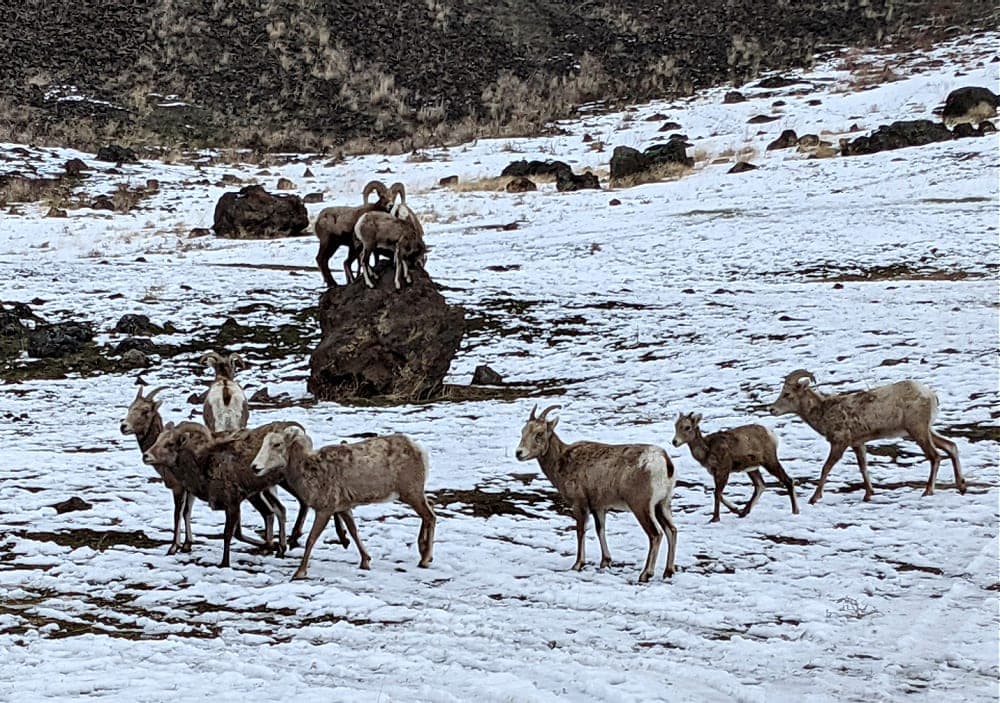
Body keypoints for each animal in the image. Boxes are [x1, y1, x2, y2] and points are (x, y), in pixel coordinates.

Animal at [250, 426, 434, 580]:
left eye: (277, 444)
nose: (255, 467)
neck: (310, 473)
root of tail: (420, 450)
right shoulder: (344, 508)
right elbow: (353, 531)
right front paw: (365, 561)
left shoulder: (325, 509)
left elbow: (311, 539)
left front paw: (299, 573)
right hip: (412, 494)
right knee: (427, 515)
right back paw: (424, 552)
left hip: (412, 493)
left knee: (430, 517)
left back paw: (425, 559)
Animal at [516, 404, 680, 584]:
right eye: (523, 431)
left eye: (539, 433)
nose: (519, 453)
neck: (562, 461)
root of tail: (665, 462)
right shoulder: (599, 507)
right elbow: (600, 529)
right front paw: (605, 562)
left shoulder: (580, 505)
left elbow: (580, 531)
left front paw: (578, 565)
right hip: (662, 505)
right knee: (672, 530)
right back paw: (668, 572)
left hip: (642, 507)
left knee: (656, 534)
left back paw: (645, 574)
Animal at [668, 412, 800, 524]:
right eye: (676, 426)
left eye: (687, 427)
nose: (675, 442)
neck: (707, 451)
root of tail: (771, 434)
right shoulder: (716, 473)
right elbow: (718, 494)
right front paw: (736, 509)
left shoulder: (723, 470)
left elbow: (717, 494)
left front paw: (715, 518)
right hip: (752, 468)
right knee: (760, 485)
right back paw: (744, 512)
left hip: (769, 461)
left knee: (788, 480)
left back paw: (795, 511)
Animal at [768, 372, 964, 504]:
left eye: (787, 394)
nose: (772, 409)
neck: (824, 412)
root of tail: (931, 395)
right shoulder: (858, 444)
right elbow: (863, 467)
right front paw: (869, 494)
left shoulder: (840, 443)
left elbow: (826, 468)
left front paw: (814, 498)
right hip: (924, 431)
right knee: (951, 446)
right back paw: (961, 486)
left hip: (918, 431)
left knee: (935, 456)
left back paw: (927, 491)